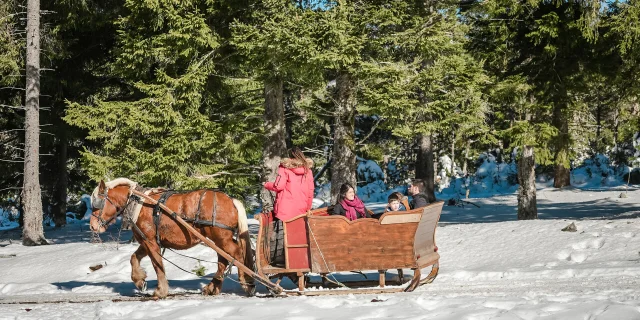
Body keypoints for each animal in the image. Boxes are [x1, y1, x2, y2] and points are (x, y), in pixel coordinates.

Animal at [88, 178, 258, 298]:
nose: (92, 226)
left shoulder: (151, 242)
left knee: (237, 253)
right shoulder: (146, 241)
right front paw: (140, 281)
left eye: (97, 204)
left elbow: (158, 265)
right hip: (217, 239)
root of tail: (231, 200)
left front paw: (161, 291)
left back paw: (247, 283)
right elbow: (134, 258)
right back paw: (212, 287)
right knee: (223, 259)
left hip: (221, 237)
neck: (138, 204)